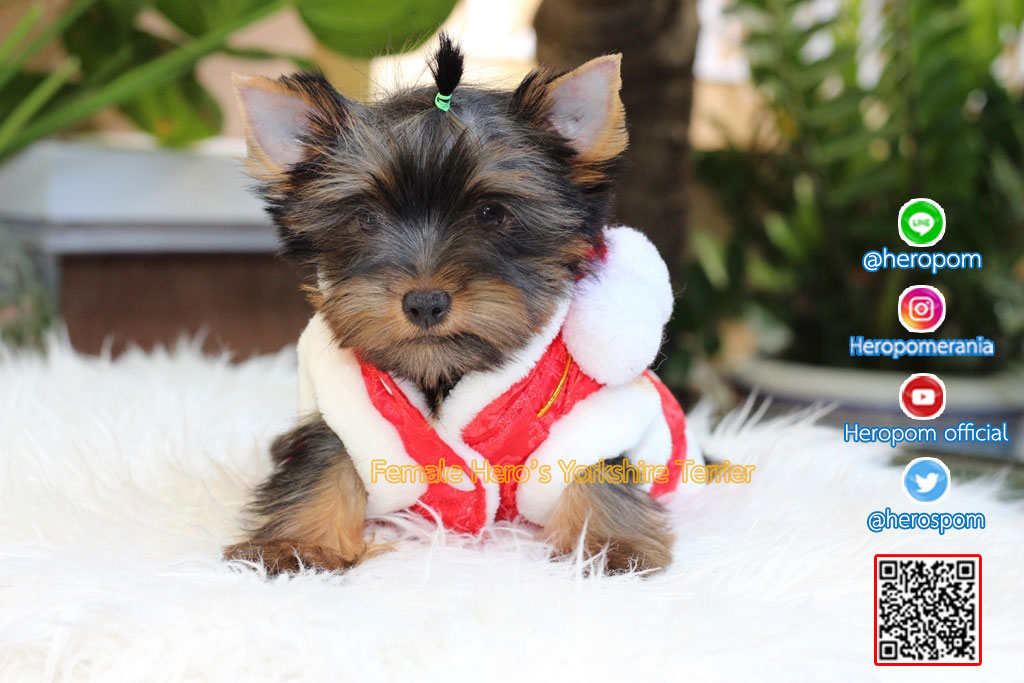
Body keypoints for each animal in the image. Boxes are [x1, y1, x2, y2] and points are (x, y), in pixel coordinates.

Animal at [224, 35, 703, 576]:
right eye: (365, 218)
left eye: (492, 213)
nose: (425, 303)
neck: (442, 372)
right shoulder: (347, 418)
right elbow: (322, 463)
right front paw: (298, 544)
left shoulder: (583, 424)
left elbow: (593, 471)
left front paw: (607, 543)